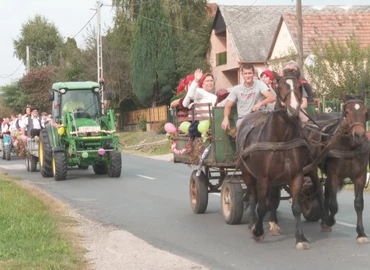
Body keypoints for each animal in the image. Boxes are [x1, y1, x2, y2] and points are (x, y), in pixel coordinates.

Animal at [236, 75, 314, 249]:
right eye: (280, 87)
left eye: (300, 86)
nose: (294, 109)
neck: (281, 139)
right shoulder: (263, 178)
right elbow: (261, 206)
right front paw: (258, 232)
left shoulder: (296, 176)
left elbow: (296, 207)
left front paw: (301, 238)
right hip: (247, 173)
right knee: (252, 196)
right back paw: (252, 224)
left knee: (272, 198)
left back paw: (273, 223)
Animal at [316, 93, 370, 245]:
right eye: (346, 112)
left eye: (366, 112)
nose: (359, 135)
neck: (350, 147)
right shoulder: (334, 175)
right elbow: (334, 205)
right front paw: (330, 220)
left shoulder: (360, 176)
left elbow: (359, 203)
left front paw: (361, 233)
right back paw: (325, 220)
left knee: (327, 191)